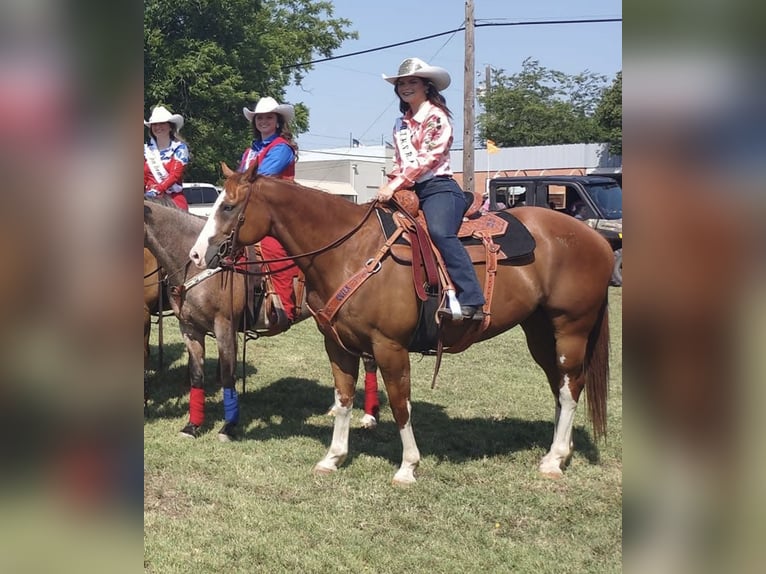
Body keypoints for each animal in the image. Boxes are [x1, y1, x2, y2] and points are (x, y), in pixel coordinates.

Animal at [144, 199, 381, 440]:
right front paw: (192, 425)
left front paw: (228, 426)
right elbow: (196, 376)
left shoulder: (224, 326)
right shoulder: (190, 329)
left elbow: (228, 376)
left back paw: (370, 417)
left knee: (370, 362)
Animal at [189, 163, 614, 484]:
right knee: (558, 386)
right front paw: (333, 457)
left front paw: (408, 466)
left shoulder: (389, 346)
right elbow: (343, 399)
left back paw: (554, 459)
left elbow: (399, 403)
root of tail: (597, 239)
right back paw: (560, 450)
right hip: (540, 330)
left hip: (571, 328)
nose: (196, 255)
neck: (349, 251)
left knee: (570, 387)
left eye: (229, 206)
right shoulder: (337, 345)